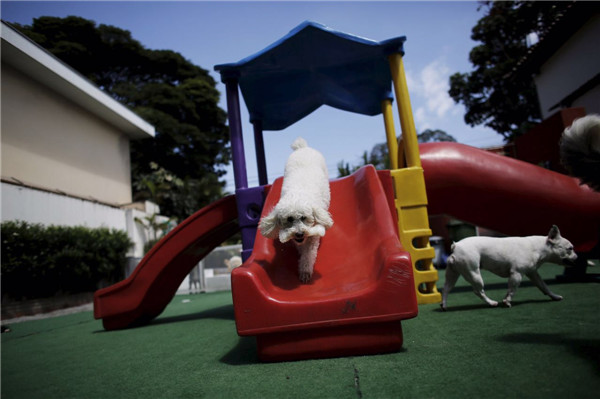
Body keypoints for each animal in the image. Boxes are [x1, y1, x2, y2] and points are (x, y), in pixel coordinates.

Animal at [256, 138, 332, 284]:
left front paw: (305, 271)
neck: (298, 193)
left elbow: (309, 254)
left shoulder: (312, 237)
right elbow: (301, 247)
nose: (299, 233)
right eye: (289, 219)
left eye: (304, 218)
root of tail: (303, 148)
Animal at [440, 227, 576, 310]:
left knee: (446, 288)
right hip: (473, 273)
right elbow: (512, 289)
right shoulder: (516, 274)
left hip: (453, 273)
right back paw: (491, 303)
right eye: (570, 248)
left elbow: (544, 286)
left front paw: (555, 297)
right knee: (478, 291)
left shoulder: (533, 273)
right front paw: (507, 301)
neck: (540, 247)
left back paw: (444, 305)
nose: (577, 256)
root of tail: (456, 246)